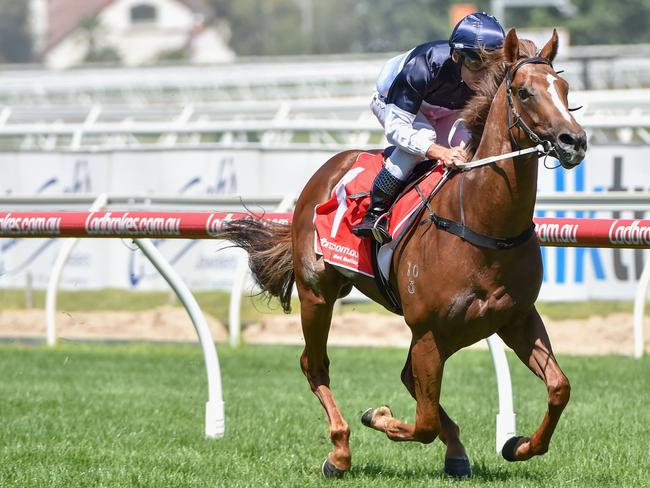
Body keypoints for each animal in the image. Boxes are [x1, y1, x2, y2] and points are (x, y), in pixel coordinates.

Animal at [220, 28, 584, 478]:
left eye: (564, 89)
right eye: (524, 91)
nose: (574, 141)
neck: (485, 227)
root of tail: (327, 169)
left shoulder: (516, 318)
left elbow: (559, 387)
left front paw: (517, 444)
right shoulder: (428, 331)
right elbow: (422, 423)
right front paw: (378, 416)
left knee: (408, 378)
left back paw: (454, 451)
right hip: (317, 294)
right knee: (315, 364)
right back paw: (339, 452)